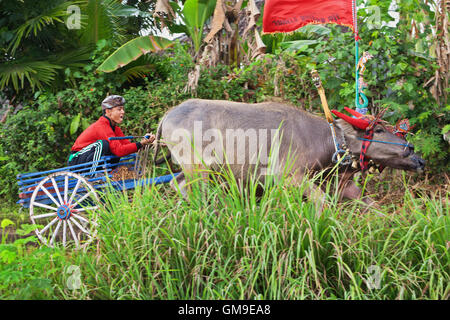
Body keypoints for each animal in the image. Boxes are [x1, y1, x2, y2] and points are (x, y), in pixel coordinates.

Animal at [153, 99, 424, 209]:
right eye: (377, 129)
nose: (414, 153)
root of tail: (167, 115)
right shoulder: (290, 177)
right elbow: (321, 202)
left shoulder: (339, 185)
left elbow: (372, 204)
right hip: (197, 167)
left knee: (178, 183)